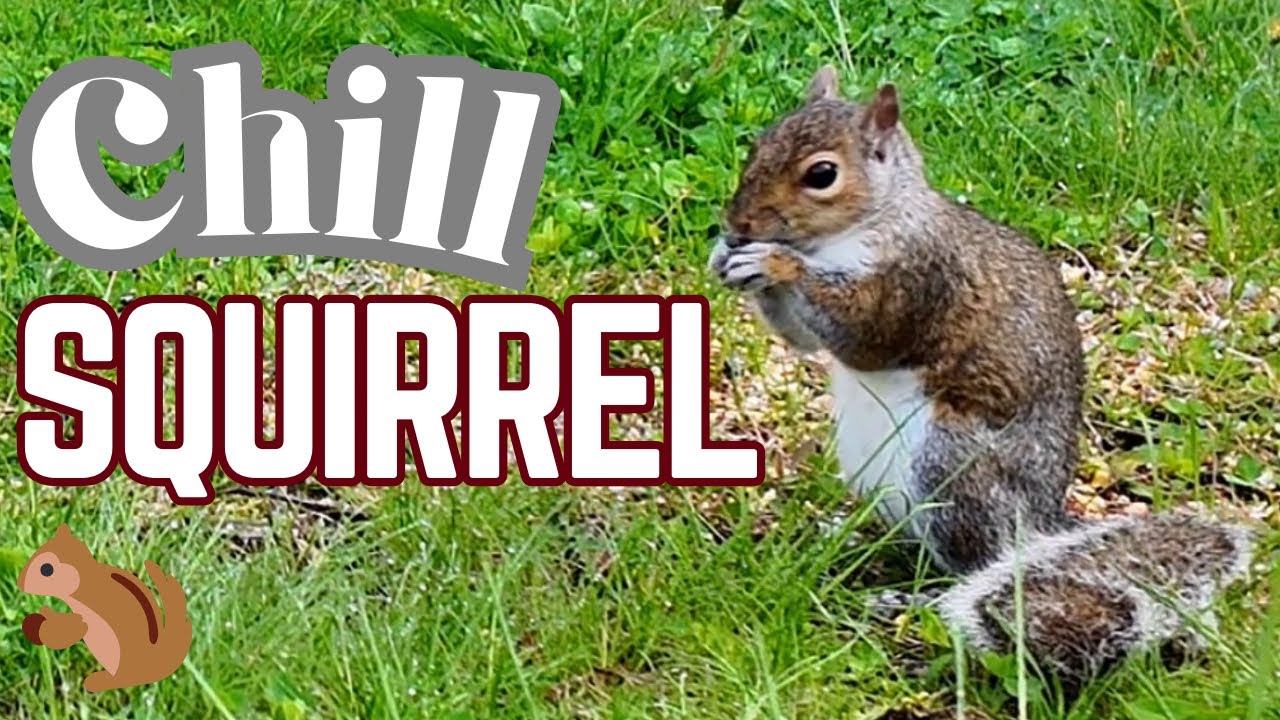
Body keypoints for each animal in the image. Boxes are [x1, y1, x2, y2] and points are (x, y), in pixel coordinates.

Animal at [710, 64, 1254, 681]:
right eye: (759, 144)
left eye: (822, 174)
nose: (737, 224)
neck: (863, 227)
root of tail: (1040, 524)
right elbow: (801, 340)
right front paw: (728, 258)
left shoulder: (917, 282)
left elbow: (864, 336)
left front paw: (776, 261)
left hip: (950, 467)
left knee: (972, 560)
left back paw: (914, 598)